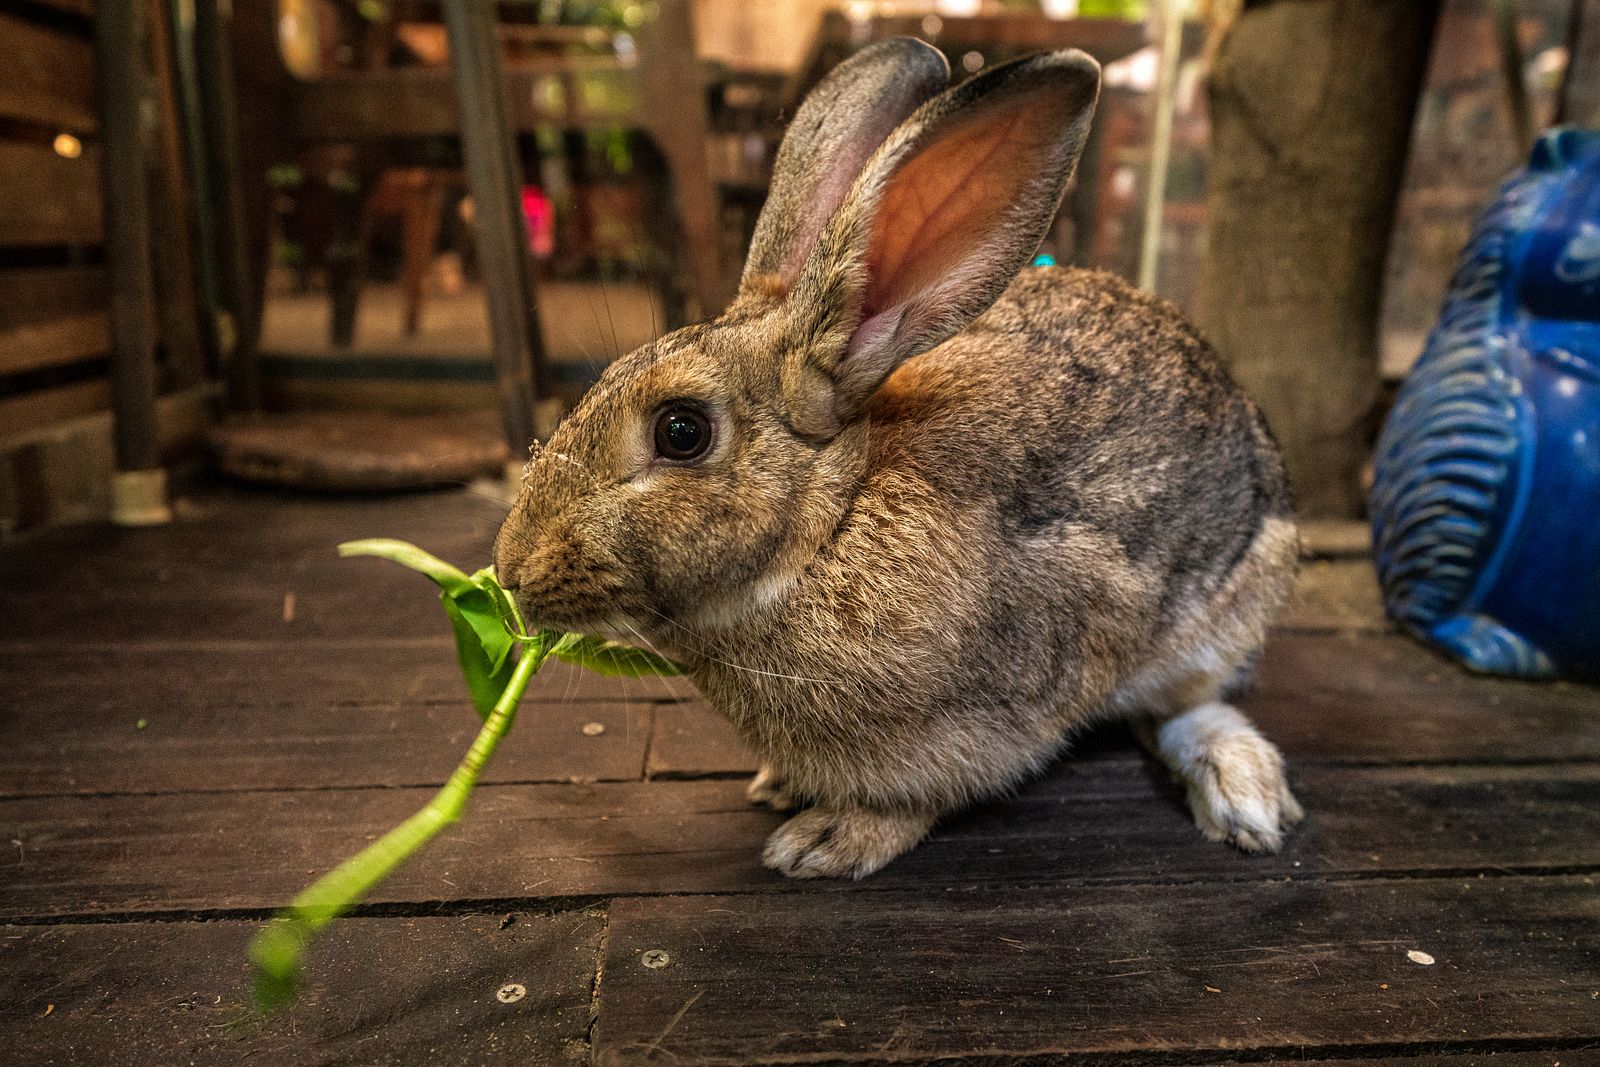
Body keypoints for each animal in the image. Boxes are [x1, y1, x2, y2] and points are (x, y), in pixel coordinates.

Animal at [492, 37, 1305, 883]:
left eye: (681, 431)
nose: (511, 569)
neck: (831, 523)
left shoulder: (1005, 702)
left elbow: (926, 794)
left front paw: (826, 839)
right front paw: (781, 786)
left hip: (1221, 615)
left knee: (1187, 706)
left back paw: (1243, 794)